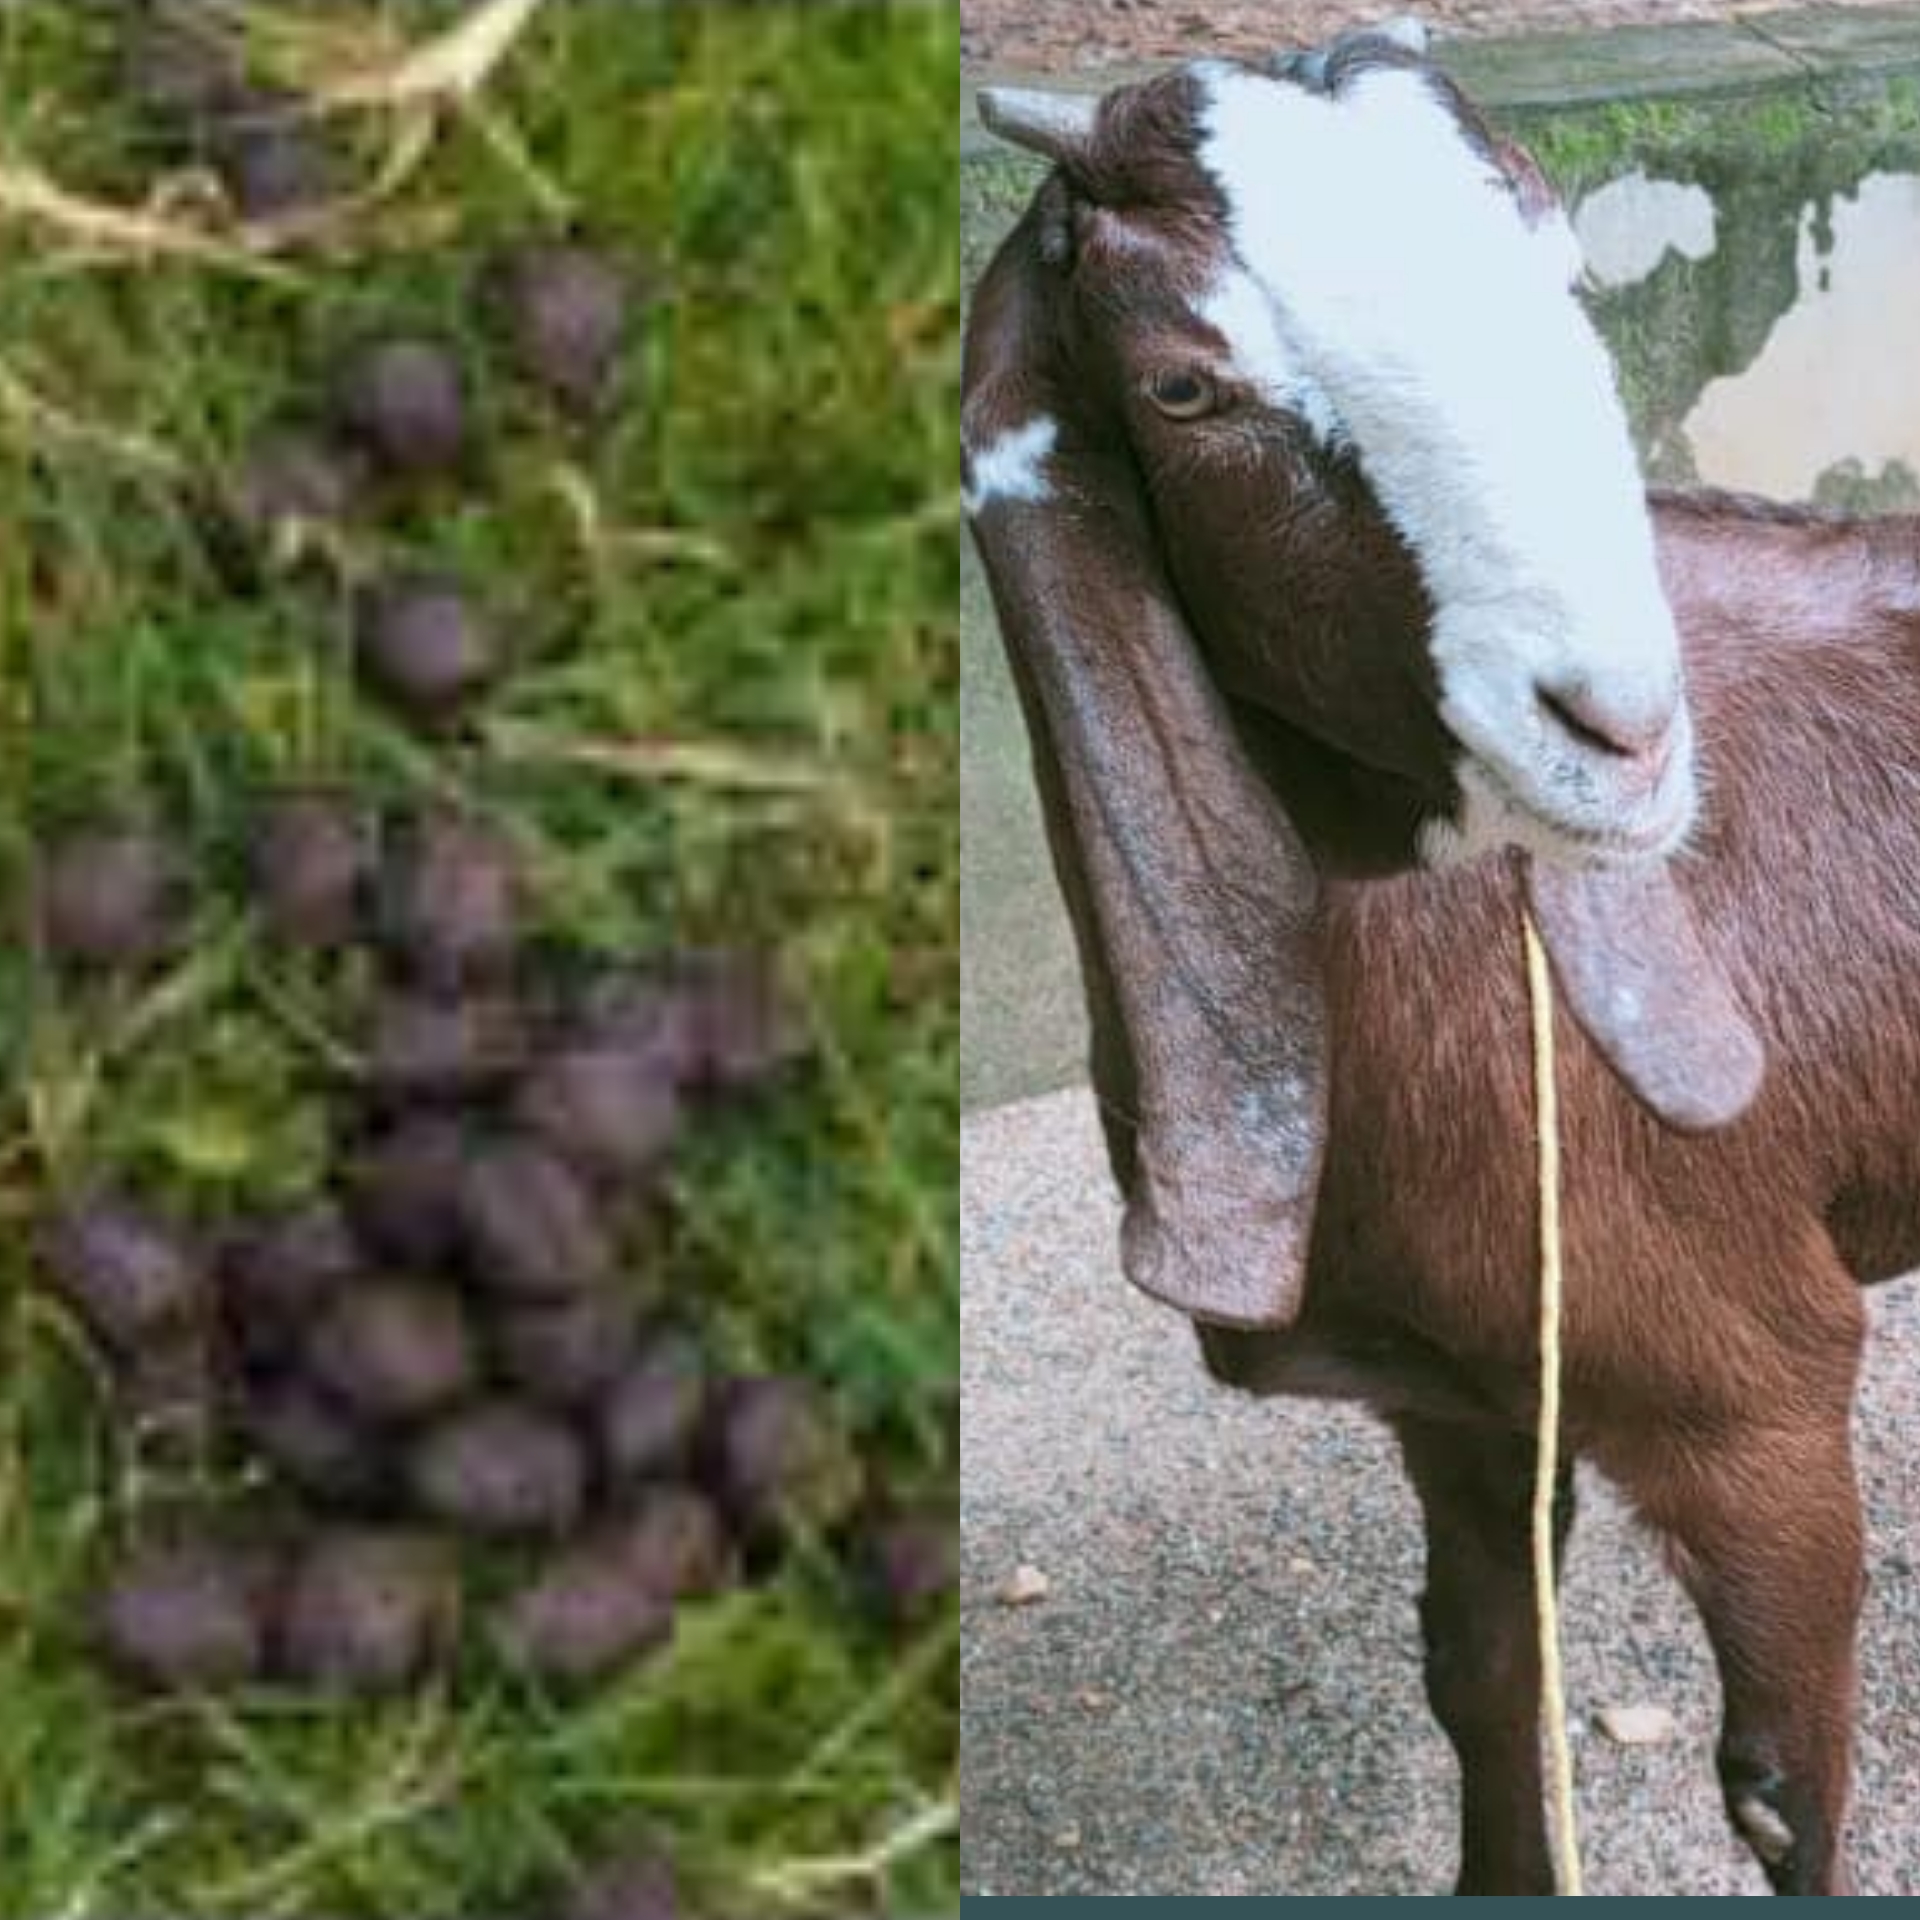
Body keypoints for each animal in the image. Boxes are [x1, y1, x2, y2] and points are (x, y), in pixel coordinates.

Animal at [967, 22, 1920, 1896]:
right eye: (1183, 391)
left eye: (1564, 279)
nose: (1621, 734)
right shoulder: (1469, 1401)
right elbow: (1481, 1673)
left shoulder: (1761, 1394)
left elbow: (1785, 1792)